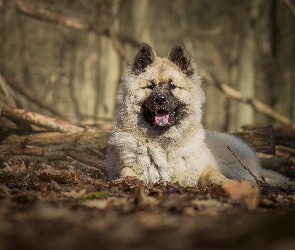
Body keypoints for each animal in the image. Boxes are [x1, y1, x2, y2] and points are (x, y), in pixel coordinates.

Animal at [106, 43, 292, 188]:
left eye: (172, 86)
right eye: (150, 86)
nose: (160, 99)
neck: (164, 143)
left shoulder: (205, 169)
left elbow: (214, 175)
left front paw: (228, 184)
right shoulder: (125, 166)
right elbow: (127, 171)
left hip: (238, 167)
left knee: (258, 177)